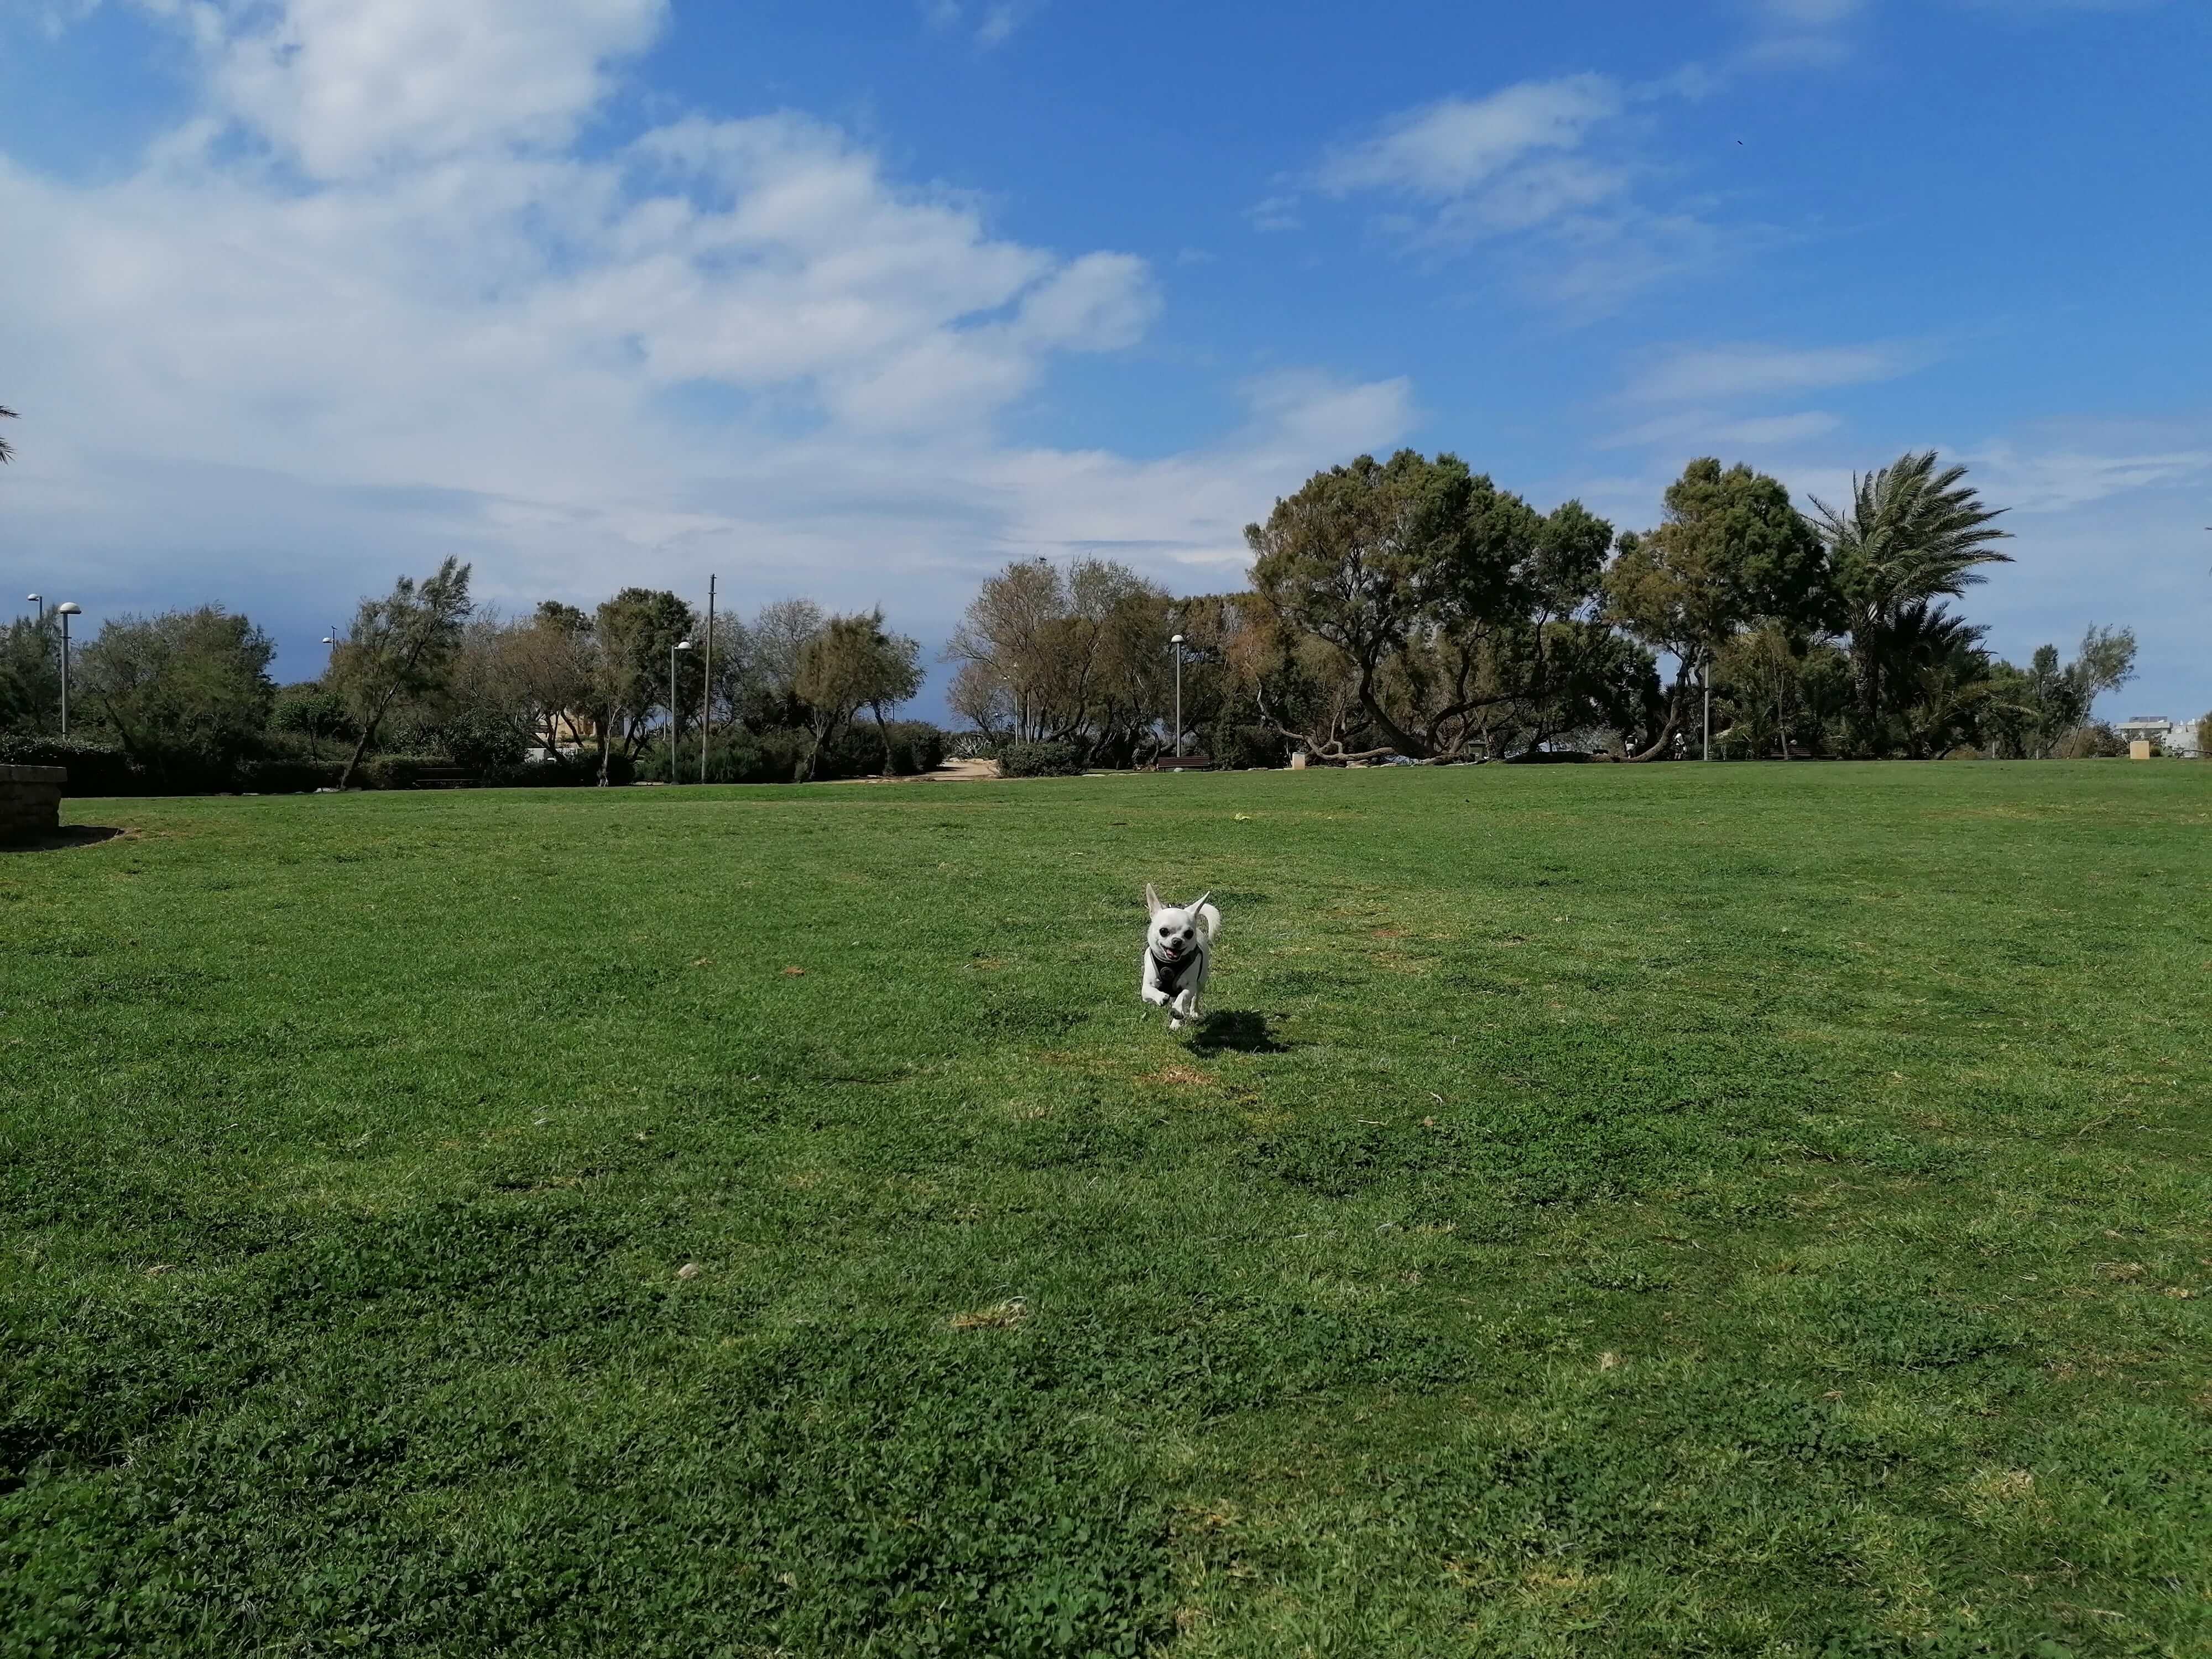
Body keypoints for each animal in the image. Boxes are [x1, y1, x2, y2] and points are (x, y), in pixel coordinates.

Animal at [1141, 889, 1230, 1035]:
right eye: (1163, 931)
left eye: (1189, 934)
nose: (1177, 941)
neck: (1170, 964)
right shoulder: (1146, 989)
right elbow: (1151, 991)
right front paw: (1161, 997)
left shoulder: (1190, 987)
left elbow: (1183, 997)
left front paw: (1178, 1011)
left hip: (1201, 981)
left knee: (1195, 998)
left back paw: (1189, 1014)